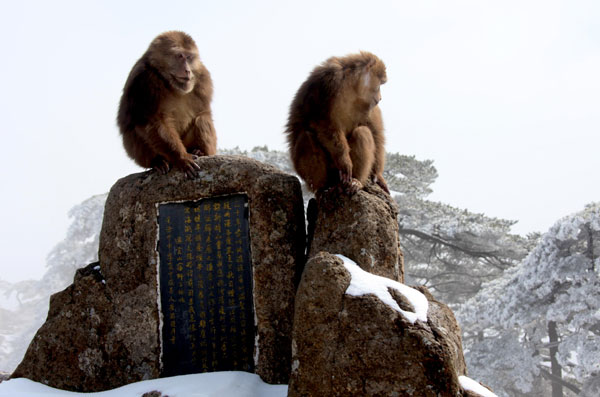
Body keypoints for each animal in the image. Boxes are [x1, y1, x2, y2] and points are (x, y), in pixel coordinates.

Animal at [116, 31, 216, 177]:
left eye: (189, 57)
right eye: (180, 56)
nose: (187, 70)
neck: (168, 81)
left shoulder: (203, 77)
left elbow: (203, 112)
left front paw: (199, 151)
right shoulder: (143, 80)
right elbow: (153, 121)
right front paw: (182, 158)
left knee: (201, 119)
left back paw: (198, 151)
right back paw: (158, 162)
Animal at [284, 51, 390, 196]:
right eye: (379, 84)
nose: (380, 98)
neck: (353, 86)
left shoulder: (369, 105)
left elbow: (375, 132)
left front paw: (378, 175)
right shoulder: (328, 82)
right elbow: (325, 124)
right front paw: (344, 161)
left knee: (362, 132)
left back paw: (356, 182)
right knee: (306, 137)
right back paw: (323, 187)